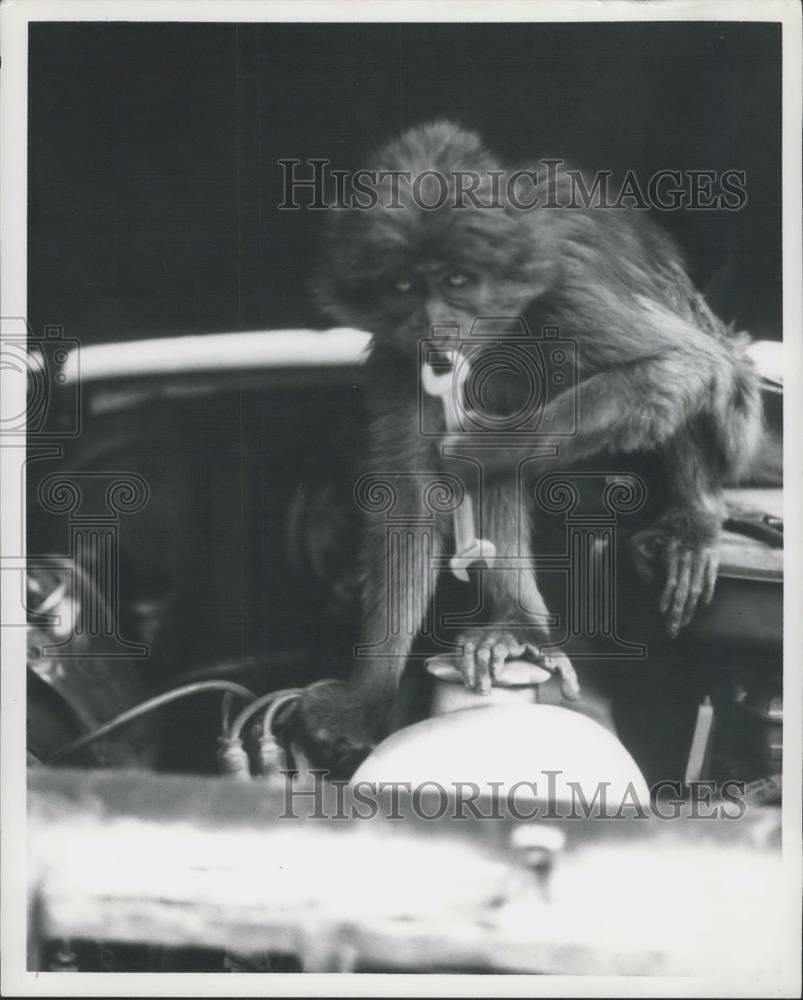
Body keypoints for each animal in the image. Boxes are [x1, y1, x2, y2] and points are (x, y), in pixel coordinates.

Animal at [298, 121, 764, 768]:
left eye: (456, 281)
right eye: (406, 286)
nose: (436, 328)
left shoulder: (569, 287)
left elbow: (680, 367)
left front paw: (472, 449)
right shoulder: (401, 355)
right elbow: (411, 499)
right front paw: (369, 700)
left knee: (709, 368)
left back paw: (690, 525)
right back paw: (516, 626)